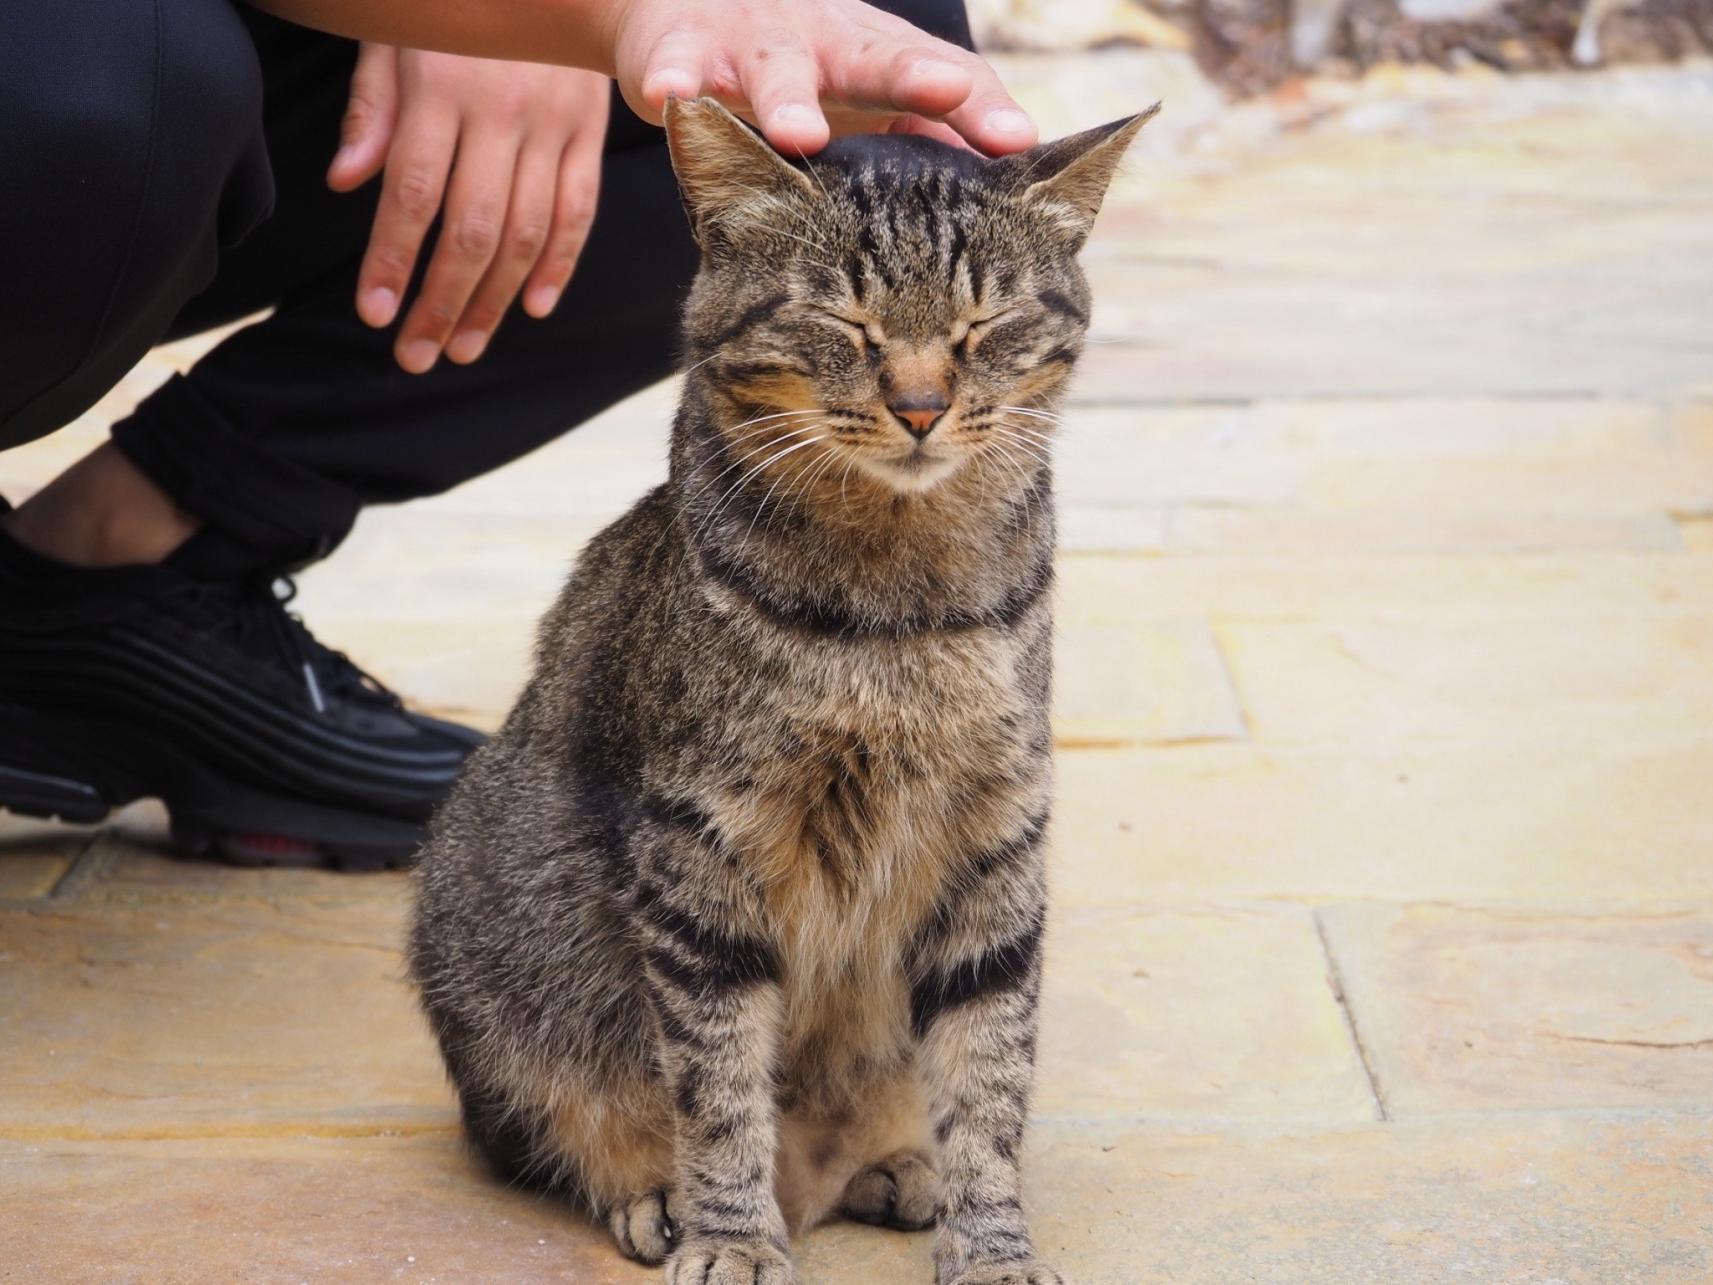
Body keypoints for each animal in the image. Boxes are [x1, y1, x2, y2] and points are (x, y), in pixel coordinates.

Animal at [405, 95, 1151, 1281]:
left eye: (982, 326)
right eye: (844, 323)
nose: (922, 406)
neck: (899, 602)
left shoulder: (996, 842)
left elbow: (989, 1076)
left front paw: (991, 1242)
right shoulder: (703, 848)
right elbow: (718, 1084)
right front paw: (733, 1236)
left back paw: (897, 1172)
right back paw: (667, 1197)